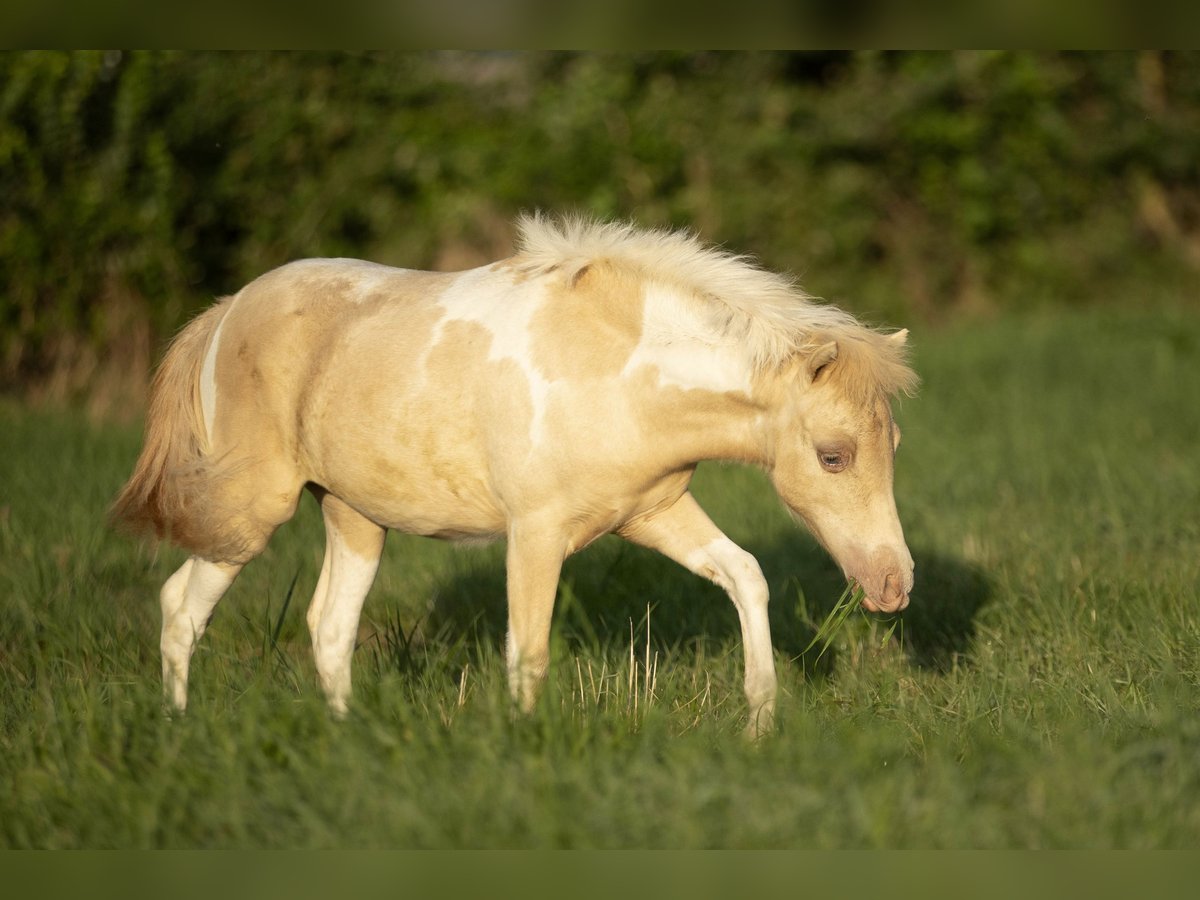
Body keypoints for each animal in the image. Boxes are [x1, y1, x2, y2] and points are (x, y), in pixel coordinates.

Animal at [112, 214, 916, 734]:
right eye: (834, 455)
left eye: (895, 444)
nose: (893, 585)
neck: (617, 370)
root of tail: (223, 313)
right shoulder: (535, 536)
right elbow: (526, 654)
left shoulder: (653, 515)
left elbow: (746, 575)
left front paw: (759, 721)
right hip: (249, 513)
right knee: (181, 607)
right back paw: (177, 731)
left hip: (353, 516)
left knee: (329, 627)